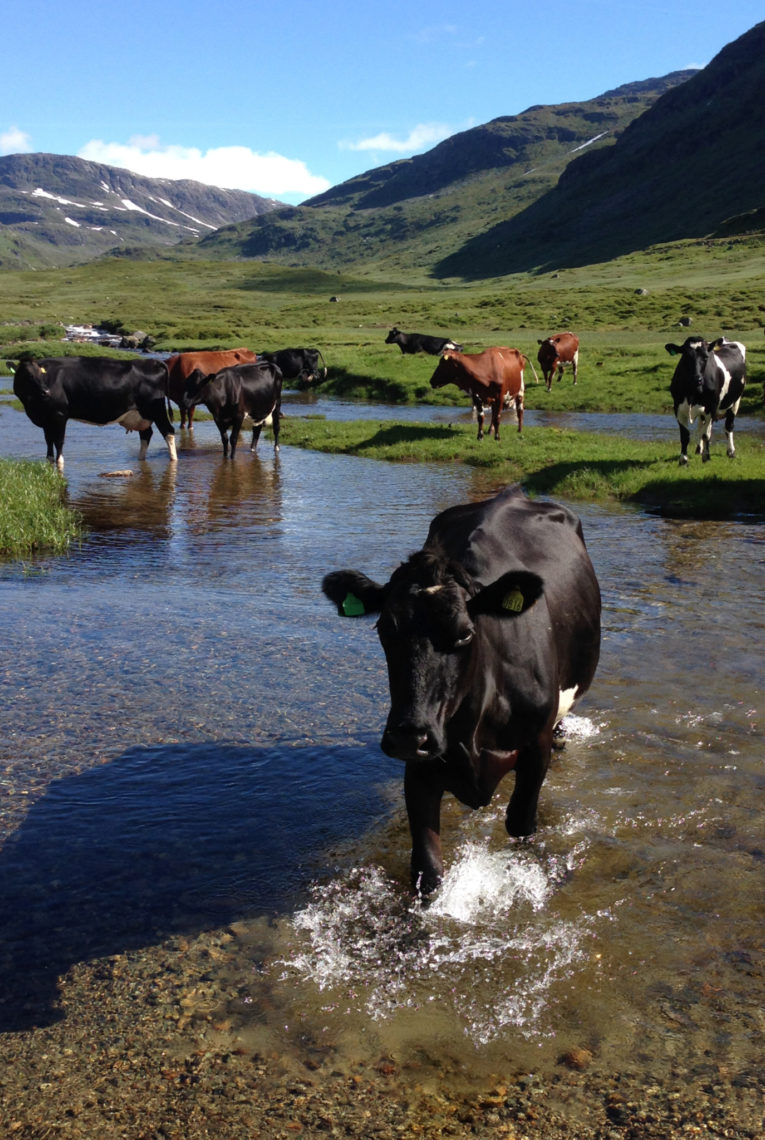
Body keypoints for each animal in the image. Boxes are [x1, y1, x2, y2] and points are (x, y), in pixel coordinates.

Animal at [7, 351, 176, 467]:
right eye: (27, 376)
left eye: (40, 375)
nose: (46, 391)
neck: (33, 407)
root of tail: (153, 362)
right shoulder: (46, 419)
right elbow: (48, 442)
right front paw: (49, 462)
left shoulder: (59, 415)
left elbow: (59, 441)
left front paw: (60, 463)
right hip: (140, 414)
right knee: (146, 434)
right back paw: (140, 459)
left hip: (157, 409)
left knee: (168, 431)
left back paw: (173, 459)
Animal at [319, 485, 601, 893]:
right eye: (385, 629)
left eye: (465, 633)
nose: (409, 735)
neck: (472, 727)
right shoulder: (420, 765)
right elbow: (427, 866)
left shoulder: (536, 747)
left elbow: (521, 824)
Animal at [665, 335, 743, 465]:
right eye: (685, 356)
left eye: (706, 357)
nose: (697, 379)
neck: (692, 392)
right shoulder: (678, 407)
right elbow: (685, 436)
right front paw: (683, 460)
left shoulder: (711, 407)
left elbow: (706, 435)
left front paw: (706, 457)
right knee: (701, 427)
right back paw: (699, 449)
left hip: (735, 401)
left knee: (728, 427)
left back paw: (731, 452)